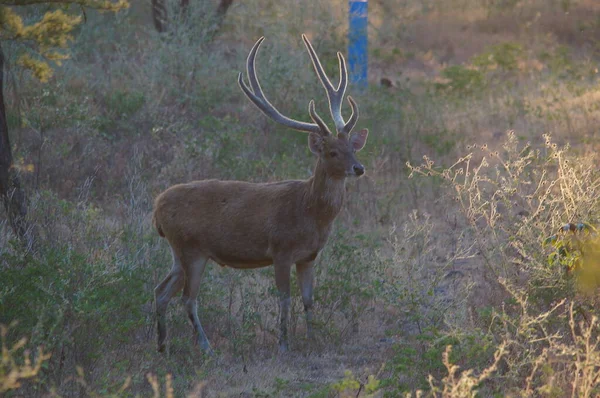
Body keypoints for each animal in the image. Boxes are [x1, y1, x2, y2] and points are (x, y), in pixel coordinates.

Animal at [152, 33, 368, 352]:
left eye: (353, 147)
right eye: (332, 152)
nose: (359, 168)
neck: (310, 214)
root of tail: (156, 208)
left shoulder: (309, 256)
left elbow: (308, 300)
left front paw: (314, 339)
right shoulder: (280, 250)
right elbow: (285, 299)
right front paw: (283, 344)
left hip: (178, 253)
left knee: (160, 290)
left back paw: (163, 346)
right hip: (191, 248)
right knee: (187, 299)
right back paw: (206, 347)